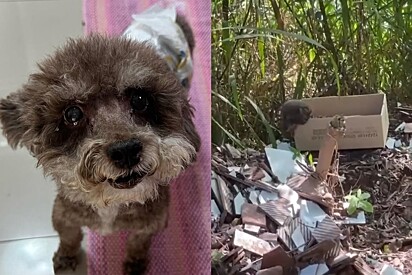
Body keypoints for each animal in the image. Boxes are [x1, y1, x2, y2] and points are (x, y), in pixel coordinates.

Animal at [0, 15, 200, 275]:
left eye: (140, 99)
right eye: (72, 114)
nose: (126, 151)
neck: (112, 204)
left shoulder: (152, 222)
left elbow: (138, 244)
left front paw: (135, 265)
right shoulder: (64, 214)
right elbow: (69, 237)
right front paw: (66, 257)